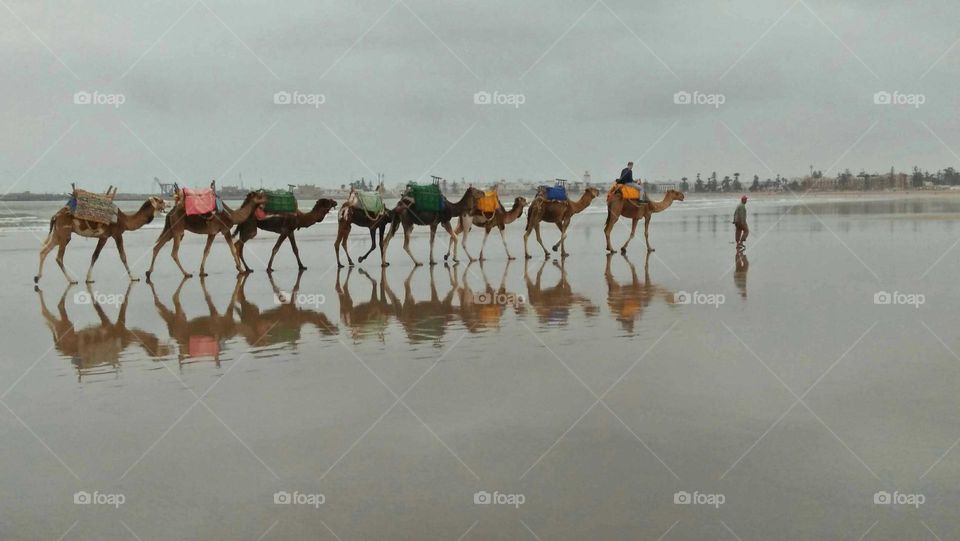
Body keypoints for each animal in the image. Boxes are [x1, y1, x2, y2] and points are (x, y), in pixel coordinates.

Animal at [35, 196, 166, 284]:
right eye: (160, 200)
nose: (168, 203)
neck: (124, 220)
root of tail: (55, 216)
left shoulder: (105, 236)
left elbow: (94, 256)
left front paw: (88, 279)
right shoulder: (114, 234)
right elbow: (121, 256)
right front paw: (133, 277)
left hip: (58, 233)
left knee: (44, 251)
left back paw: (37, 277)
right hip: (64, 233)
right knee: (59, 257)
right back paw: (71, 280)